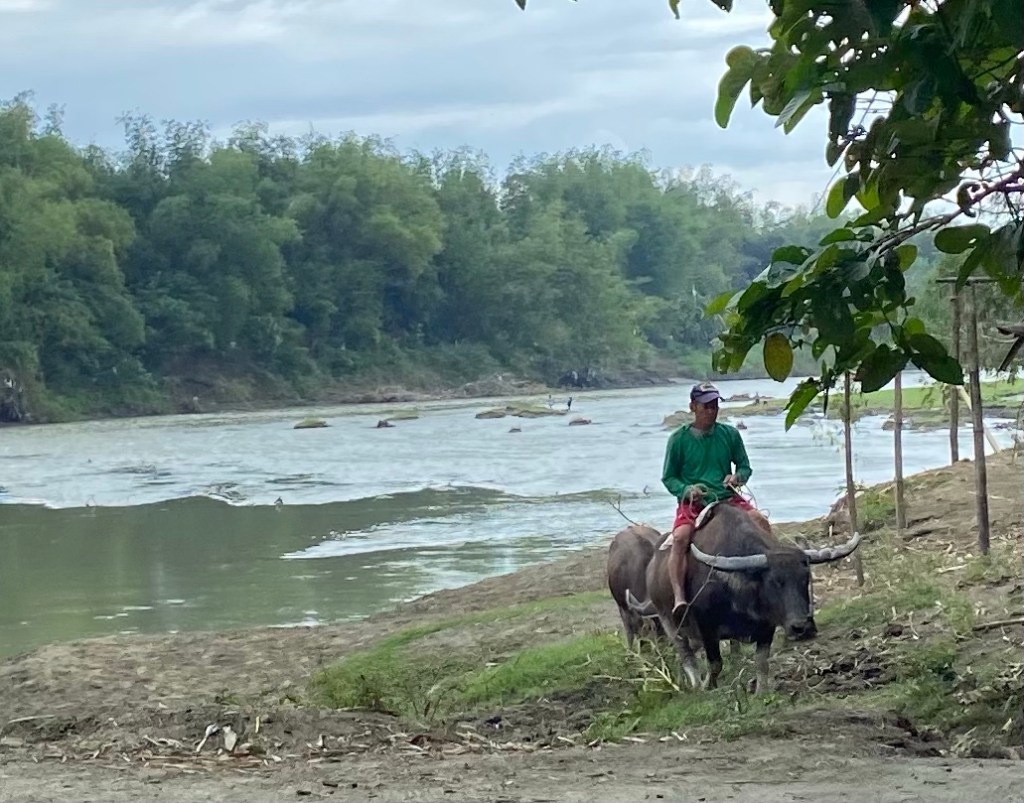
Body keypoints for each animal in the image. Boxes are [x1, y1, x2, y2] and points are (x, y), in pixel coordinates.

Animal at [623, 502, 862, 694]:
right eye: (774, 582)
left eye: (805, 578)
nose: (802, 628)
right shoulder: (707, 627)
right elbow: (715, 664)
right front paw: (708, 686)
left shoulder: (767, 626)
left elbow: (762, 662)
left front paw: (761, 693)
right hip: (667, 620)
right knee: (685, 653)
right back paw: (696, 683)